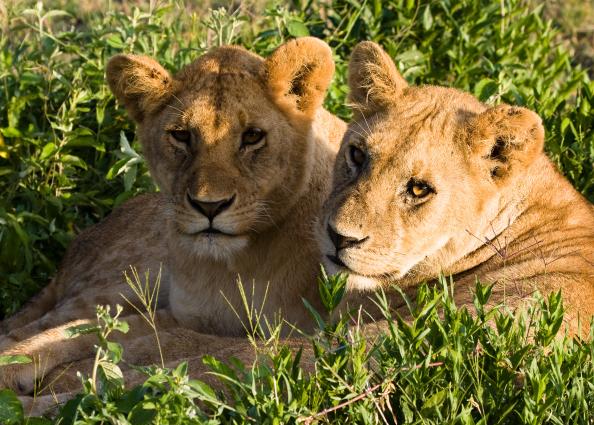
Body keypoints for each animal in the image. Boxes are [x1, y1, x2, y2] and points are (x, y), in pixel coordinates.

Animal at [0, 37, 344, 394]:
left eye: (252, 135)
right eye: (181, 135)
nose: (210, 206)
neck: (237, 266)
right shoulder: (186, 317)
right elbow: (86, 332)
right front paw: (14, 364)